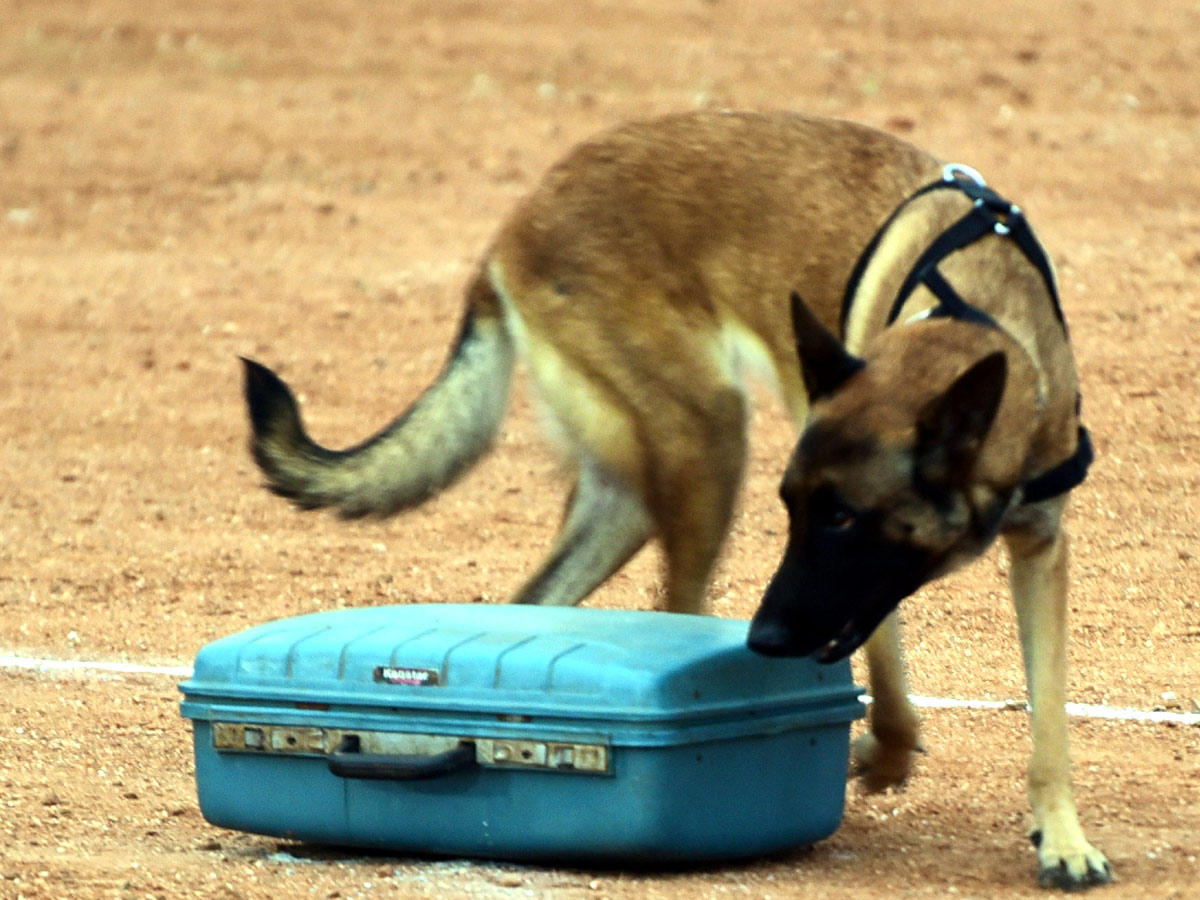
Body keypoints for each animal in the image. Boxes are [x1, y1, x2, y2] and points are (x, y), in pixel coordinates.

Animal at [241, 111, 1104, 888]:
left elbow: (1050, 720)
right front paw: (880, 757)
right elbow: (888, 686)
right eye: (795, 510)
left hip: (628, 497)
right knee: (674, 613)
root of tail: (514, 226)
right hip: (708, 443)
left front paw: (1062, 838)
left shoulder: (1037, 553)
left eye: (840, 517)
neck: (981, 320)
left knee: (535, 603)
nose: (765, 639)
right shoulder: (853, 585)